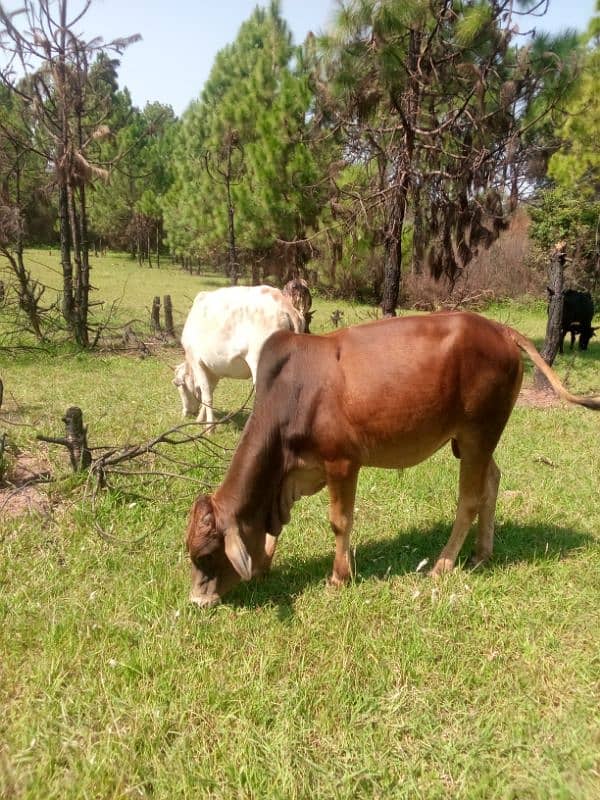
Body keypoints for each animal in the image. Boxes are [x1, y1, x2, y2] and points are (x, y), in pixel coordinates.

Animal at [173, 286, 304, 428]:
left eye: (180, 388)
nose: (186, 413)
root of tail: (283, 304)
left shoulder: (198, 362)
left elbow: (206, 394)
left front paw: (209, 427)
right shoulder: (214, 369)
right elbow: (209, 392)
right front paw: (201, 419)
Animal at [185, 310, 596, 608]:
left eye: (206, 555)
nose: (197, 601)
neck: (292, 395)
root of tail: (500, 329)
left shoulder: (341, 463)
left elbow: (340, 522)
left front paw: (339, 577)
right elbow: (278, 527)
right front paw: (266, 562)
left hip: (478, 434)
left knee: (470, 499)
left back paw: (444, 563)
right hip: (474, 441)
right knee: (492, 480)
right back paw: (482, 553)